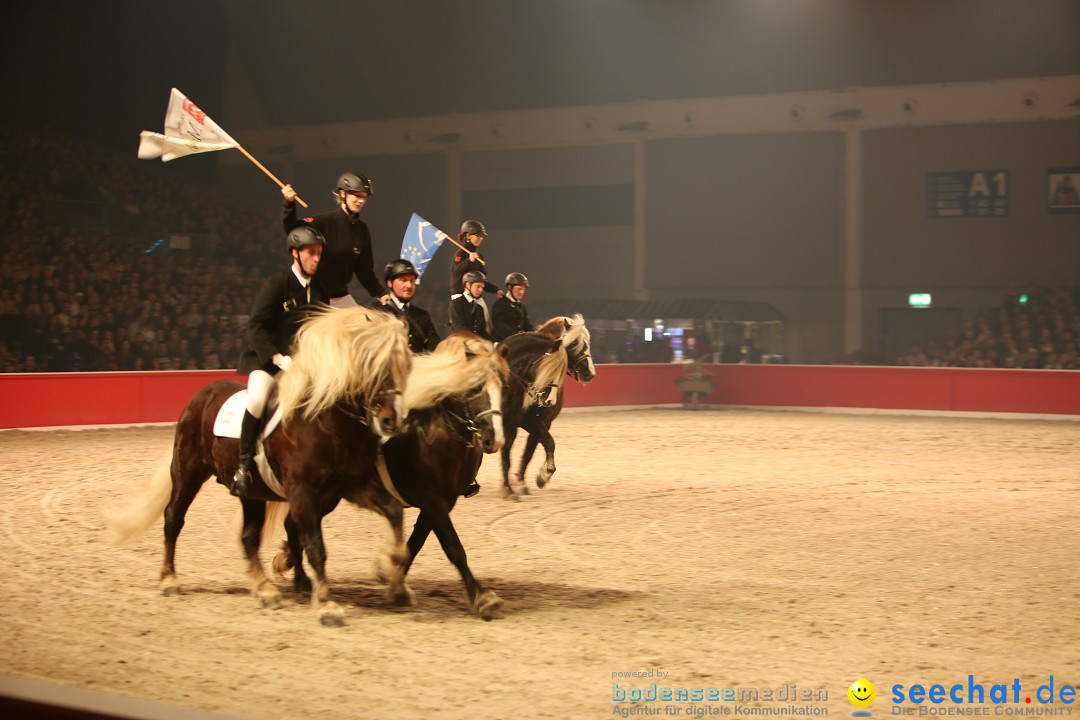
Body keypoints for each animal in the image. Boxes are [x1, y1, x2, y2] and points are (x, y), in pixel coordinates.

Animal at [105, 306, 410, 626]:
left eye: (405, 365)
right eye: (372, 364)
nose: (391, 421)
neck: (328, 422)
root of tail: (202, 394)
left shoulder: (354, 486)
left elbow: (393, 511)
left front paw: (393, 574)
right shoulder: (303, 493)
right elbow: (316, 546)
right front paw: (328, 606)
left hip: (253, 494)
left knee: (249, 536)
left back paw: (266, 590)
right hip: (187, 473)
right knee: (174, 519)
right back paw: (169, 580)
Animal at [267, 332, 507, 621]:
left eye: (503, 388)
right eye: (474, 388)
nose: (495, 440)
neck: (435, 433)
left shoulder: (442, 502)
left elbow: (414, 545)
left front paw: (395, 585)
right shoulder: (433, 501)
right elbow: (453, 547)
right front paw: (482, 597)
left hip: (325, 496)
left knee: (293, 524)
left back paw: (292, 567)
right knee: (296, 526)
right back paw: (301, 580)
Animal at [494, 313, 596, 505]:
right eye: (574, 344)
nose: (590, 373)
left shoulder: (541, 422)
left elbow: (538, 447)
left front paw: (537, 478)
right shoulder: (522, 421)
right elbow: (509, 453)